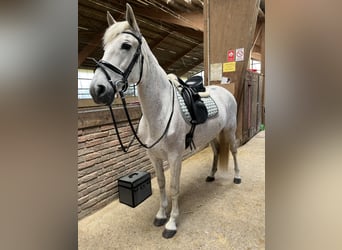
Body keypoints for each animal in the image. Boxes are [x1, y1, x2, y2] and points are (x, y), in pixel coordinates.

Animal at [90, 3, 240, 238]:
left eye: (126, 45)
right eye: (105, 46)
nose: (97, 89)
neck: (159, 111)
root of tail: (224, 91)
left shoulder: (175, 157)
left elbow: (173, 188)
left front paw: (171, 223)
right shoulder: (154, 157)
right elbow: (160, 184)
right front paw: (161, 215)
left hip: (230, 131)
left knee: (233, 150)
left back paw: (237, 177)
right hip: (213, 135)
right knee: (217, 152)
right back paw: (211, 175)